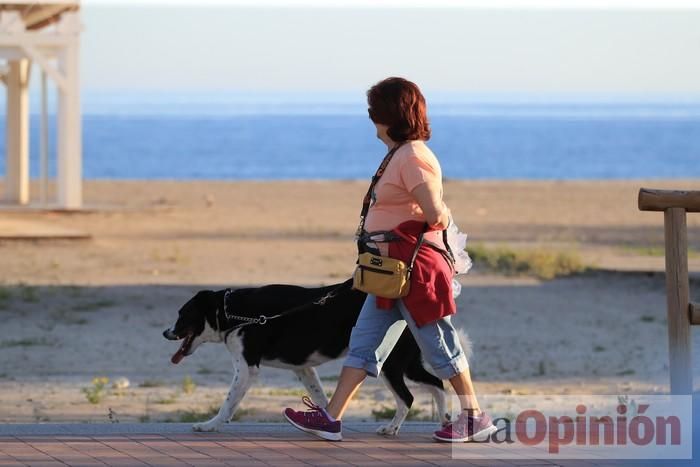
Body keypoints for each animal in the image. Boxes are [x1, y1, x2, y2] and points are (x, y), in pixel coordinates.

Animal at [165, 278, 464, 436]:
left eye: (182, 314)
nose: (166, 332)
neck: (232, 312)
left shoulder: (247, 368)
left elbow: (228, 403)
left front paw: (210, 425)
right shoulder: (303, 369)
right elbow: (322, 398)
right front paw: (327, 424)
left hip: (390, 364)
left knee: (410, 396)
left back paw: (400, 427)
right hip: (404, 364)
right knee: (435, 384)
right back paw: (442, 421)